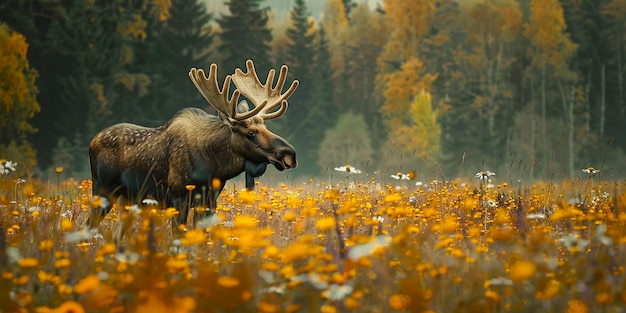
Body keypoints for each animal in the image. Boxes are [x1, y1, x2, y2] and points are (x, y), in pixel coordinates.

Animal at [86, 58, 298, 235]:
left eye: (266, 127)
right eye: (251, 133)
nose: (290, 154)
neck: (215, 167)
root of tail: (92, 141)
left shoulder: (209, 201)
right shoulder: (177, 197)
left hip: (127, 198)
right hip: (103, 190)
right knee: (89, 225)